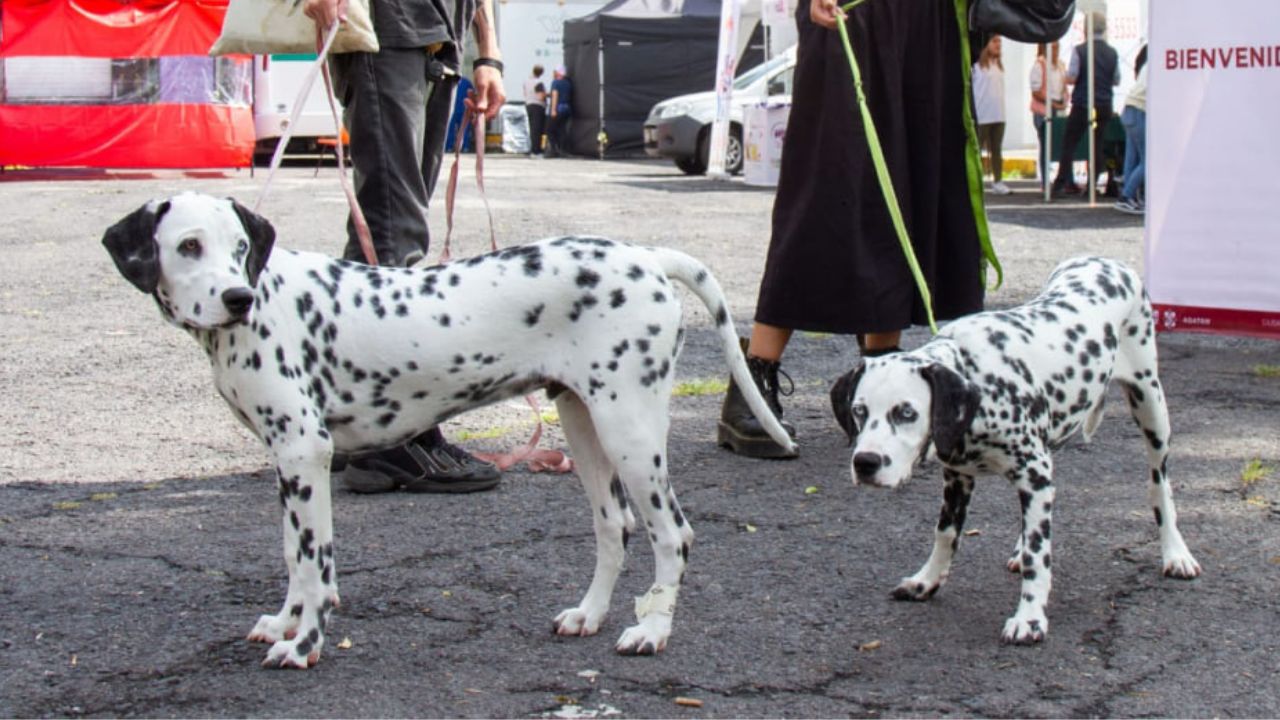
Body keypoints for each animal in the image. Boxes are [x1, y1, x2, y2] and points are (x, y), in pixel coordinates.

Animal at [104, 192, 793, 666]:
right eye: (189, 246)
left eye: (240, 249)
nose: (236, 298)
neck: (266, 305)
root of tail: (647, 256)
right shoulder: (288, 464)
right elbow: (294, 557)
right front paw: (285, 622)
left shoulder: (306, 454)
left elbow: (317, 564)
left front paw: (304, 644)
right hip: (586, 428)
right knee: (614, 528)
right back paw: (589, 615)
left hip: (631, 432)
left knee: (673, 534)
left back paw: (652, 630)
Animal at [829, 254, 1198, 640]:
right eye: (859, 411)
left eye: (906, 412)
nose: (865, 462)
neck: (978, 377)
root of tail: (1104, 260)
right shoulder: (958, 477)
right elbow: (946, 533)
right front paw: (926, 581)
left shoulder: (1033, 473)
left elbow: (1039, 554)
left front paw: (1030, 617)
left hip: (1151, 407)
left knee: (1159, 485)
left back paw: (1175, 552)